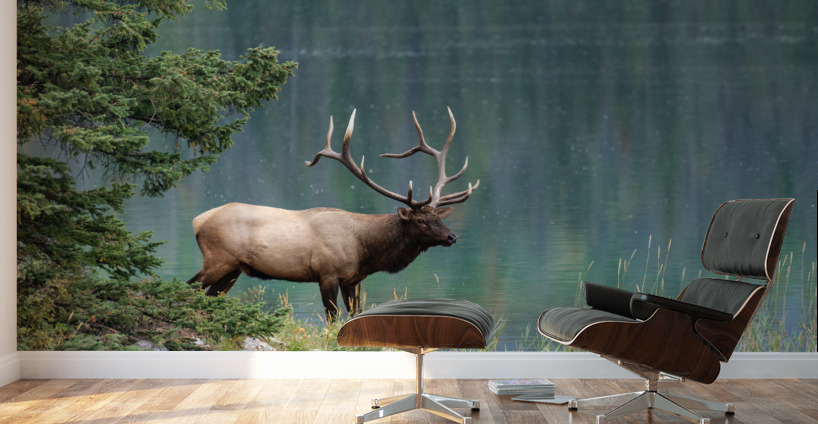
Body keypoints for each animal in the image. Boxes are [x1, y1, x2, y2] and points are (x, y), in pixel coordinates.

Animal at [186, 107, 479, 319]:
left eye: (439, 217)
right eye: (420, 220)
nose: (452, 237)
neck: (366, 250)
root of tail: (197, 220)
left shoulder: (354, 280)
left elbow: (355, 315)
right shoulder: (327, 274)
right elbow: (332, 319)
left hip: (233, 269)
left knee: (209, 296)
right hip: (217, 260)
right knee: (189, 288)